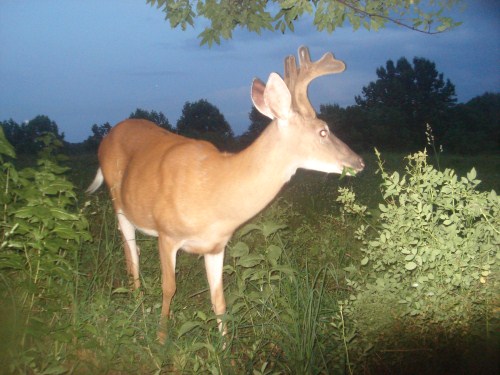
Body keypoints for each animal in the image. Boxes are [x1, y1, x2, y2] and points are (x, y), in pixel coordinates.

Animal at [87, 45, 364, 342]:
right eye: (323, 131)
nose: (359, 161)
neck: (216, 193)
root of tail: (108, 136)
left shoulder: (216, 245)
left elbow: (219, 298)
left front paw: (224, 346)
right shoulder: (167, 233)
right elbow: (169, 287)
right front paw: (161, 339)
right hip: (120, 203)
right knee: (132, 257)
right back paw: (138, 305)